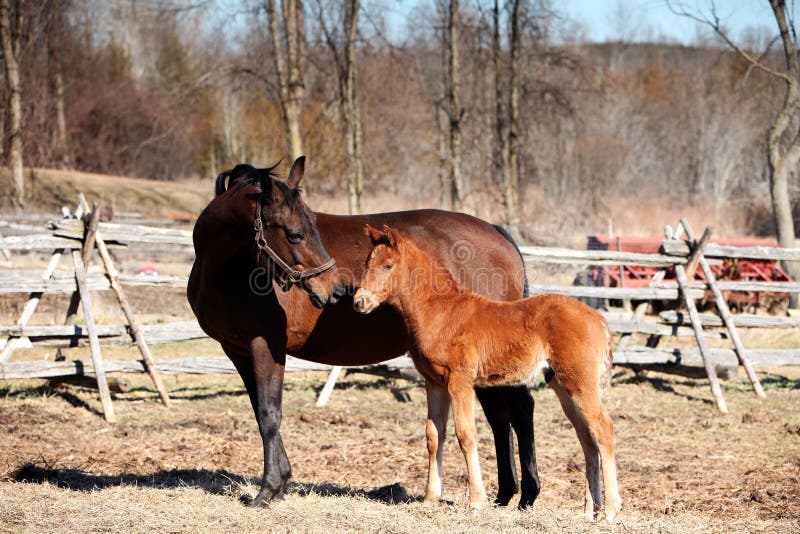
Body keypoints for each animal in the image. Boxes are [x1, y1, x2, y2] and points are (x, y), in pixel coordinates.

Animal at [354, 225, 620, 524]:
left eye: (388, 265)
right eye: (366, 263)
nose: (359, 301)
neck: (442, 312)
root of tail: (598, 319)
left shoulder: (459, 381)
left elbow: (465, 434)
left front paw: (477, 501)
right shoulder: (433, 383)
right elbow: (434, 435)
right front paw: (430, 498)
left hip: (580, 383)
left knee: (603, 429)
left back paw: (610, 509)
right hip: (564, 386)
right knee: (587, 438)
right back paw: (589, 510)